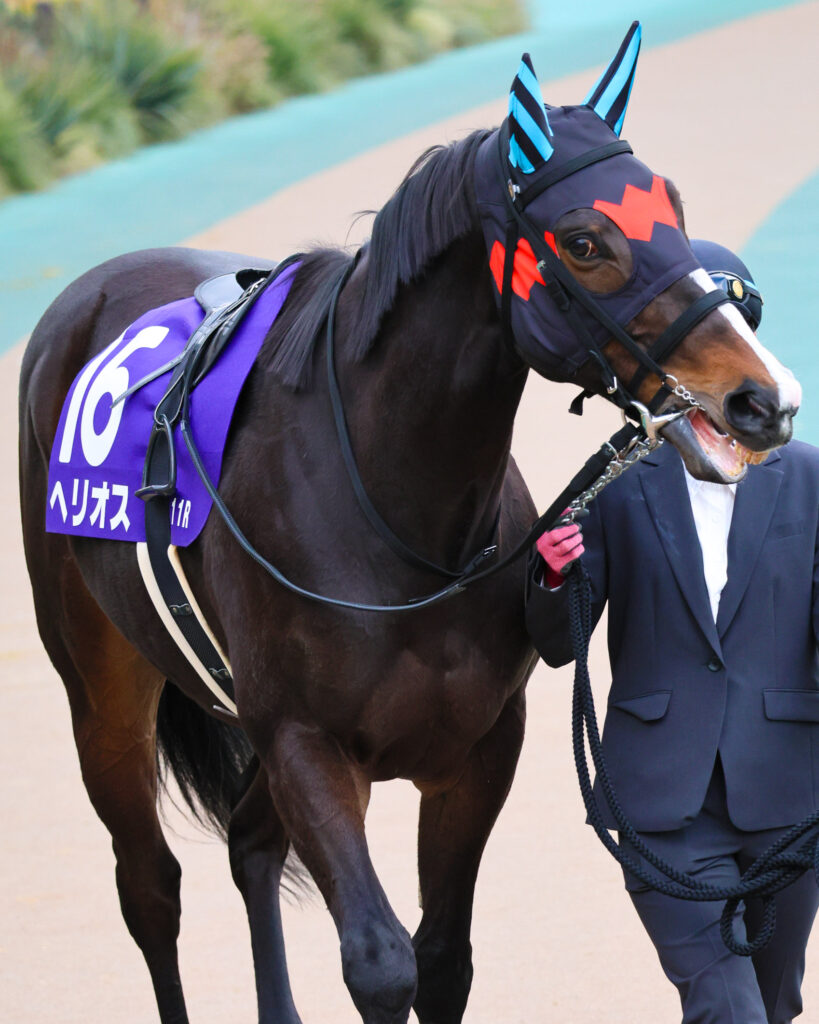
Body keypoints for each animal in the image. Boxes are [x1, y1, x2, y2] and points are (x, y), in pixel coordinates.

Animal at [18, 23, 800, 1024]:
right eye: (584, 241)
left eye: (672, 206)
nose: (761, 401)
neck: (399, 520)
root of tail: (84, 296)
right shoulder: (306, 743)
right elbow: (382, 961)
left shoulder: (477, 745)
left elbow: (440, 958)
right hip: (102, 685)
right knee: (149, 886)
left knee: (248, 843)